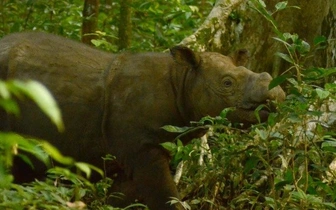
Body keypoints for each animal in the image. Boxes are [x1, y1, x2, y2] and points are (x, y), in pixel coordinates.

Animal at [0, 31, 286, 210]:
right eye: (227, 83)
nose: (277, 93)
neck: (182, 79)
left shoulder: (138, 150)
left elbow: (119, 199)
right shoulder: (142, 146)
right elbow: (167, 197)